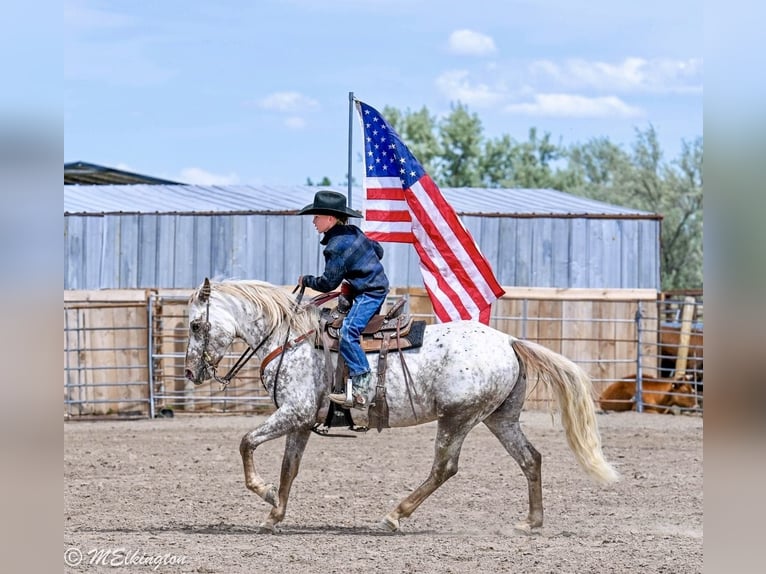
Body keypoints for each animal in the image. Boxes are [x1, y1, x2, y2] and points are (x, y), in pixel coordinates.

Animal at [184, 278, 619, 534]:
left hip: (457, 418)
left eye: (195, 325)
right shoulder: (302, 422)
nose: (190, 371)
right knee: (530, 459)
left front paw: (265, 493)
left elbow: (246, 442)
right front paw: (275, 512)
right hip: (500, 419)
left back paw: (396, 514)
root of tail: (510, 341)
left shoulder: (294, 412)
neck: (291, 337)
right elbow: (289, 468)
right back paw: (531, 522)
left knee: (444, 467)